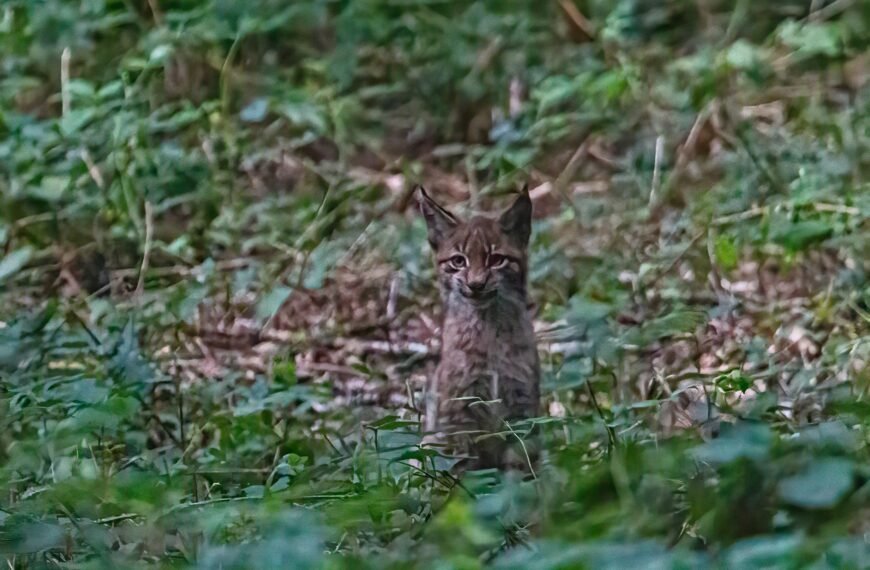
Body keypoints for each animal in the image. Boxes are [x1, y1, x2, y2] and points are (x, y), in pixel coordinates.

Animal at [416, 186, 540, 470]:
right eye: (458, 261)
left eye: (496, 260)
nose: (476, 285)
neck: (488, 324)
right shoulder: (459, 415)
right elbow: (464, 469)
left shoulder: (523, 407)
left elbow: (520, 466)